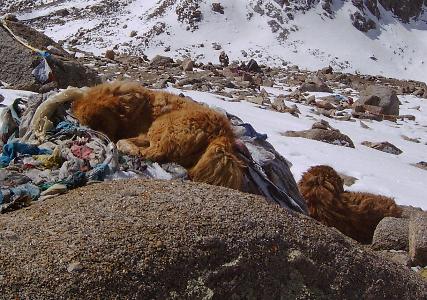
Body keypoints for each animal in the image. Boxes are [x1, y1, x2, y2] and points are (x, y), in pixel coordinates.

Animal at [72, 81, 246, 190]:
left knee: (153, 152)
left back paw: (129, 148)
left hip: (162, 124)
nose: (102, 138)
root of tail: (222, 135)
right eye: (90, 125)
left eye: (102, 124)